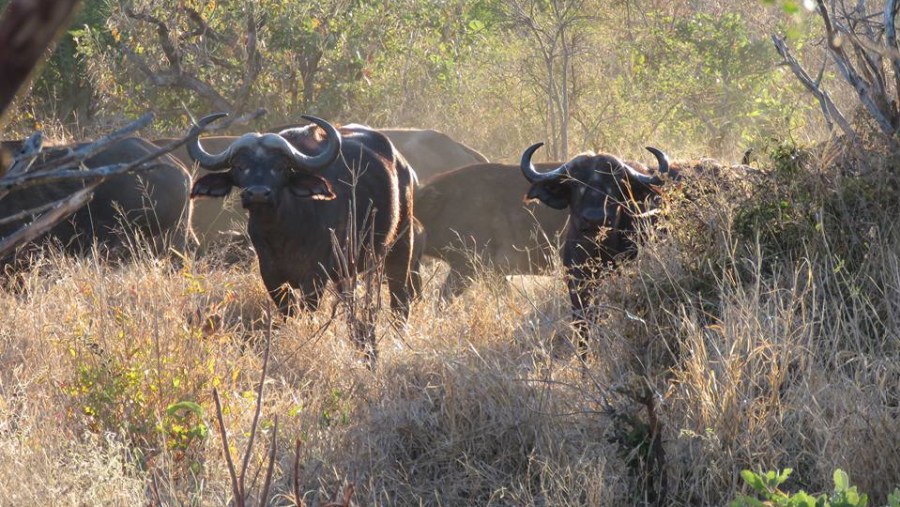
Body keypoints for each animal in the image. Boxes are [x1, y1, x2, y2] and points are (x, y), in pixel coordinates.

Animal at [520, 141, 668, 352]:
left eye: (616, 183)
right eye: (575, 183)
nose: (595, 218)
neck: (598, 251)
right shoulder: (577, 288)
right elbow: (584, 328)